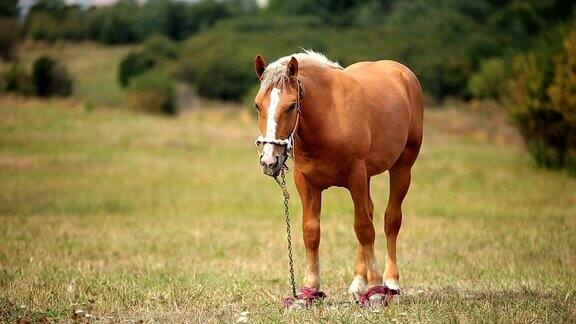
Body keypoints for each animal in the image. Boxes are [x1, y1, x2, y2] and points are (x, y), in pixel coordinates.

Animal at [253, 50, 424, 306]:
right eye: (257, 105)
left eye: (291, 105)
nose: (269, 161)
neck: (328, 119)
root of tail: (404, 74)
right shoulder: (306, 183)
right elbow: (311, 231)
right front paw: (309, 290)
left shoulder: (356, 176)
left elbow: (364, 228)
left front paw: (375, 291)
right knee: (370, 211)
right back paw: (358, 283)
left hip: (402, 166)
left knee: (391, 219)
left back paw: (390, 282)